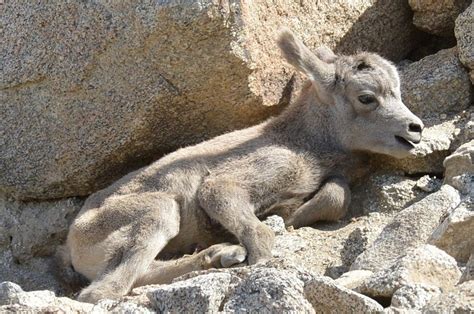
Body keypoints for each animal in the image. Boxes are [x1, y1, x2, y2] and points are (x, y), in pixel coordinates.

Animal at [58, 28, 422, 302]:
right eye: (366, 97)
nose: (414, 129)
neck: (298, 142)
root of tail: (73, 244)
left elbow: (335, 195)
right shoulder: (228, 185)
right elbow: (260, 229)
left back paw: (218, 255)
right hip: (158, 211)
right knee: (103, 291)